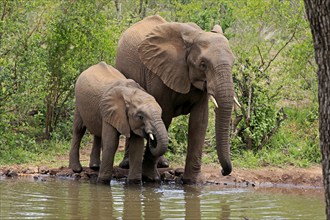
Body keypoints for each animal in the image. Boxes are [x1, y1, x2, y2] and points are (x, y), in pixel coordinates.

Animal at [116, 15, 235, 184]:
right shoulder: (159, 73)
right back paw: (127, 165)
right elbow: (164, 116)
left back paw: (163, 164)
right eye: (203, 65)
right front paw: (151, 178)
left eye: (233, 63)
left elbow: (199, 122)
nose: (223, 171)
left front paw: (193, 182)